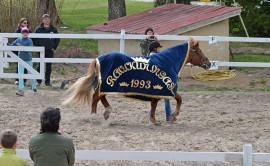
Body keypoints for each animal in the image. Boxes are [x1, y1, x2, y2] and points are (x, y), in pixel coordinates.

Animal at [63, 38, 211, 124]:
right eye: (199, 51)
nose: (209, 63)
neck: (168, 62)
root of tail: (98, 59)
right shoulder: (169, 89)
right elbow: (179, 99)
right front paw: (173, 116)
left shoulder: (158, 91)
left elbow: (154, 106)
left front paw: (154, 119)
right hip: (105, 85)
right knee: (95, 98)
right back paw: (94, 116)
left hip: (104, 86)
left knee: (101, 97)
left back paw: (107, 112)